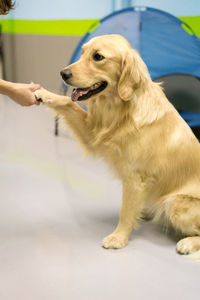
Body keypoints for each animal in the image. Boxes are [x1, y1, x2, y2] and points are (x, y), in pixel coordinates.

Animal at [35, 33, 200, 258]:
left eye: (98, 57)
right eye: (83, 52)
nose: (63, 73)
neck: (123, 108)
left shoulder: (134, 178)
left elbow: (125, 211)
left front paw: (118, 238)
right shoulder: (93, 133)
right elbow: (68, 102)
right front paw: (43, 93)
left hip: (175, 202)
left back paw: (187, 242)